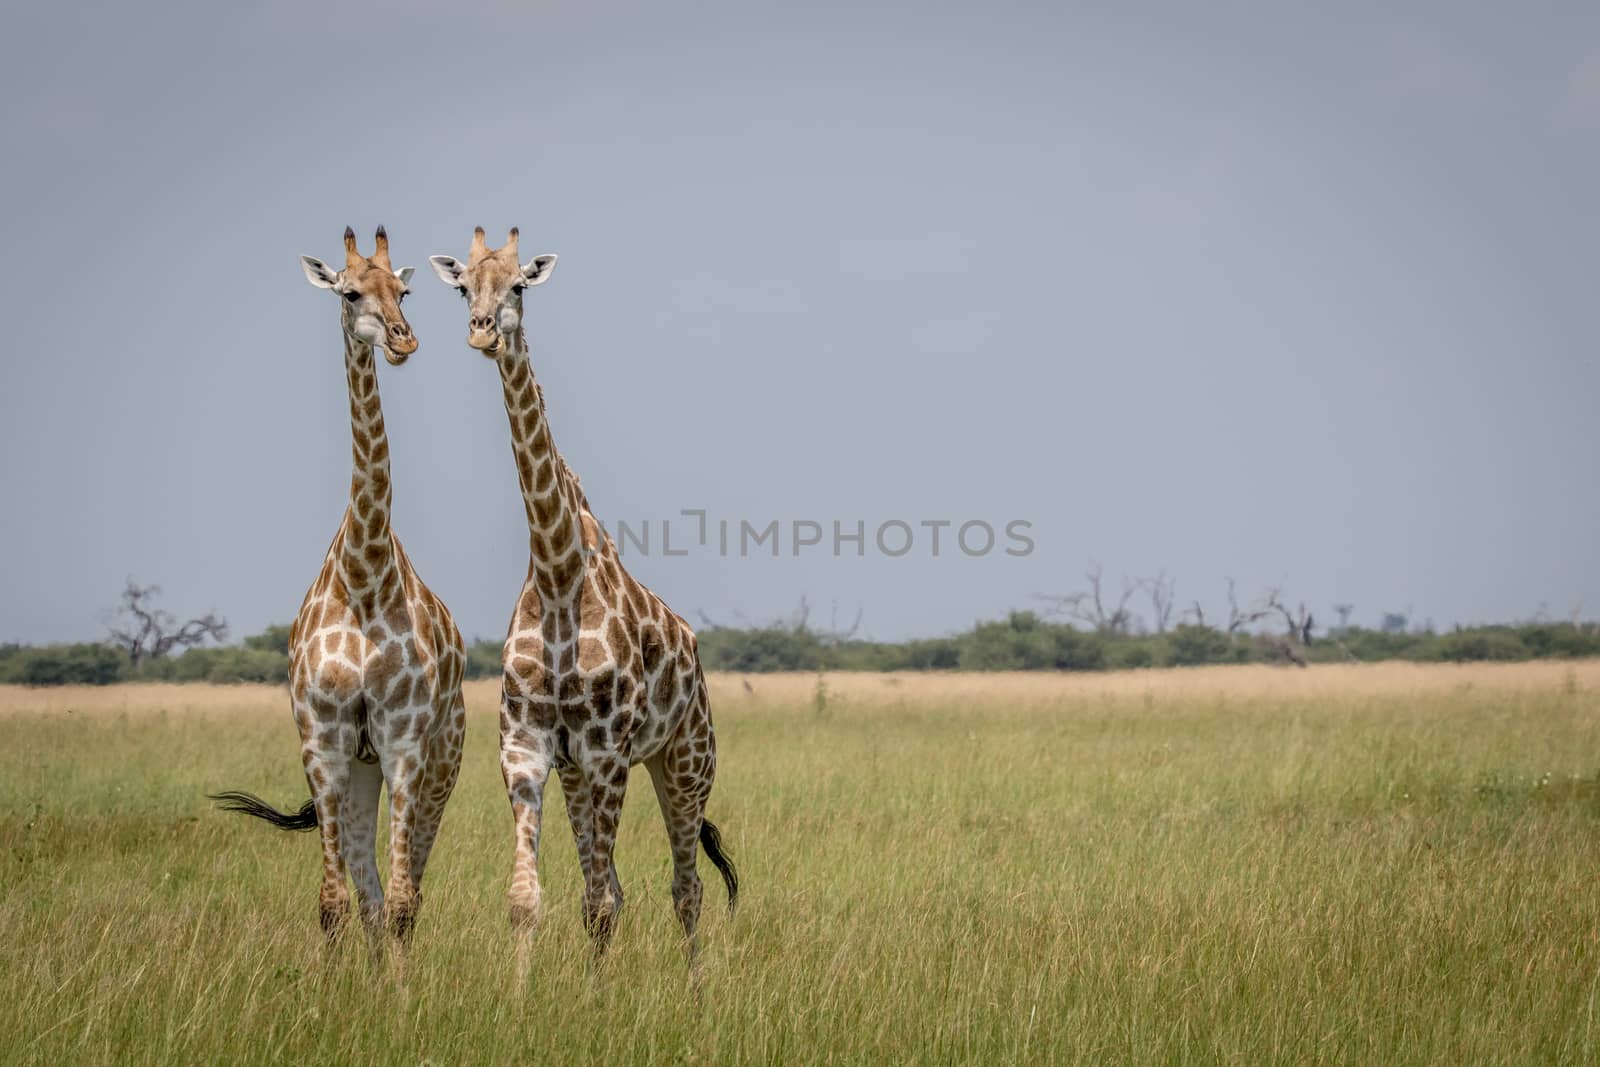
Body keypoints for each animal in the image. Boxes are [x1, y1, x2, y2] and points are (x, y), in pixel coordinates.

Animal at [212, 227, 467, 953]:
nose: (404, 340)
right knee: (368, 891)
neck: (364, 574)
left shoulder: (404, 739)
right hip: (360, 767)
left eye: (405, 290)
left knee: (405, 891)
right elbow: (333, 901)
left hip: (437, 759)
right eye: (351, 292)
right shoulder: (321, 739)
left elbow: (405, 900)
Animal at [432, 230, 742, 966]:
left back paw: (695, 984)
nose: (481, 331)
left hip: (686, 760)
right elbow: (532, 899)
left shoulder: (608, 751)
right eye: (463, 287)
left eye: (519, 284)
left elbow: (600, 903)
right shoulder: (526, 747)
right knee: (621, 892)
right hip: (582, 772)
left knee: (686, 889)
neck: (556, 574)